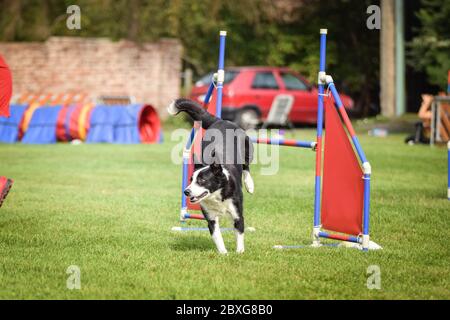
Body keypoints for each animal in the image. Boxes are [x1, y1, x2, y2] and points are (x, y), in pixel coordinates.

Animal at [168, 99, 255, 254]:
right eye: (191, 180)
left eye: (202, 180)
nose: (186, 191)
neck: (216, 195)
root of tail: (221, 120)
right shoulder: (211, 218)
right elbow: (217, 236)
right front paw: (224, 254)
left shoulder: (237, 213)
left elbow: (239, 233)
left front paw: (239, 252)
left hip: (248, 148)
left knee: (246, 166)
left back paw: (250, 185)